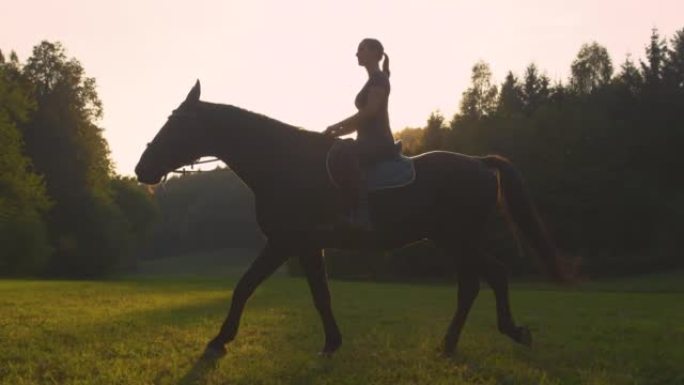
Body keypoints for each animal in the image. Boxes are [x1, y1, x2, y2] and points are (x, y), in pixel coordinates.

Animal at [135, 79, 572, 358]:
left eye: (175, 123)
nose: (142, 169)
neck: (284, 164)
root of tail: (480, 163)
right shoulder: (307, 247)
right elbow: (320, 295)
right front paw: (332, 342)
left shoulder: (283, 243)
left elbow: (244, 287)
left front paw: (219, 340)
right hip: (450, 240)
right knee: (474, 284)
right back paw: (450, 344)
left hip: (459, 238)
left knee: (492, 276)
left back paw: (511, 332)